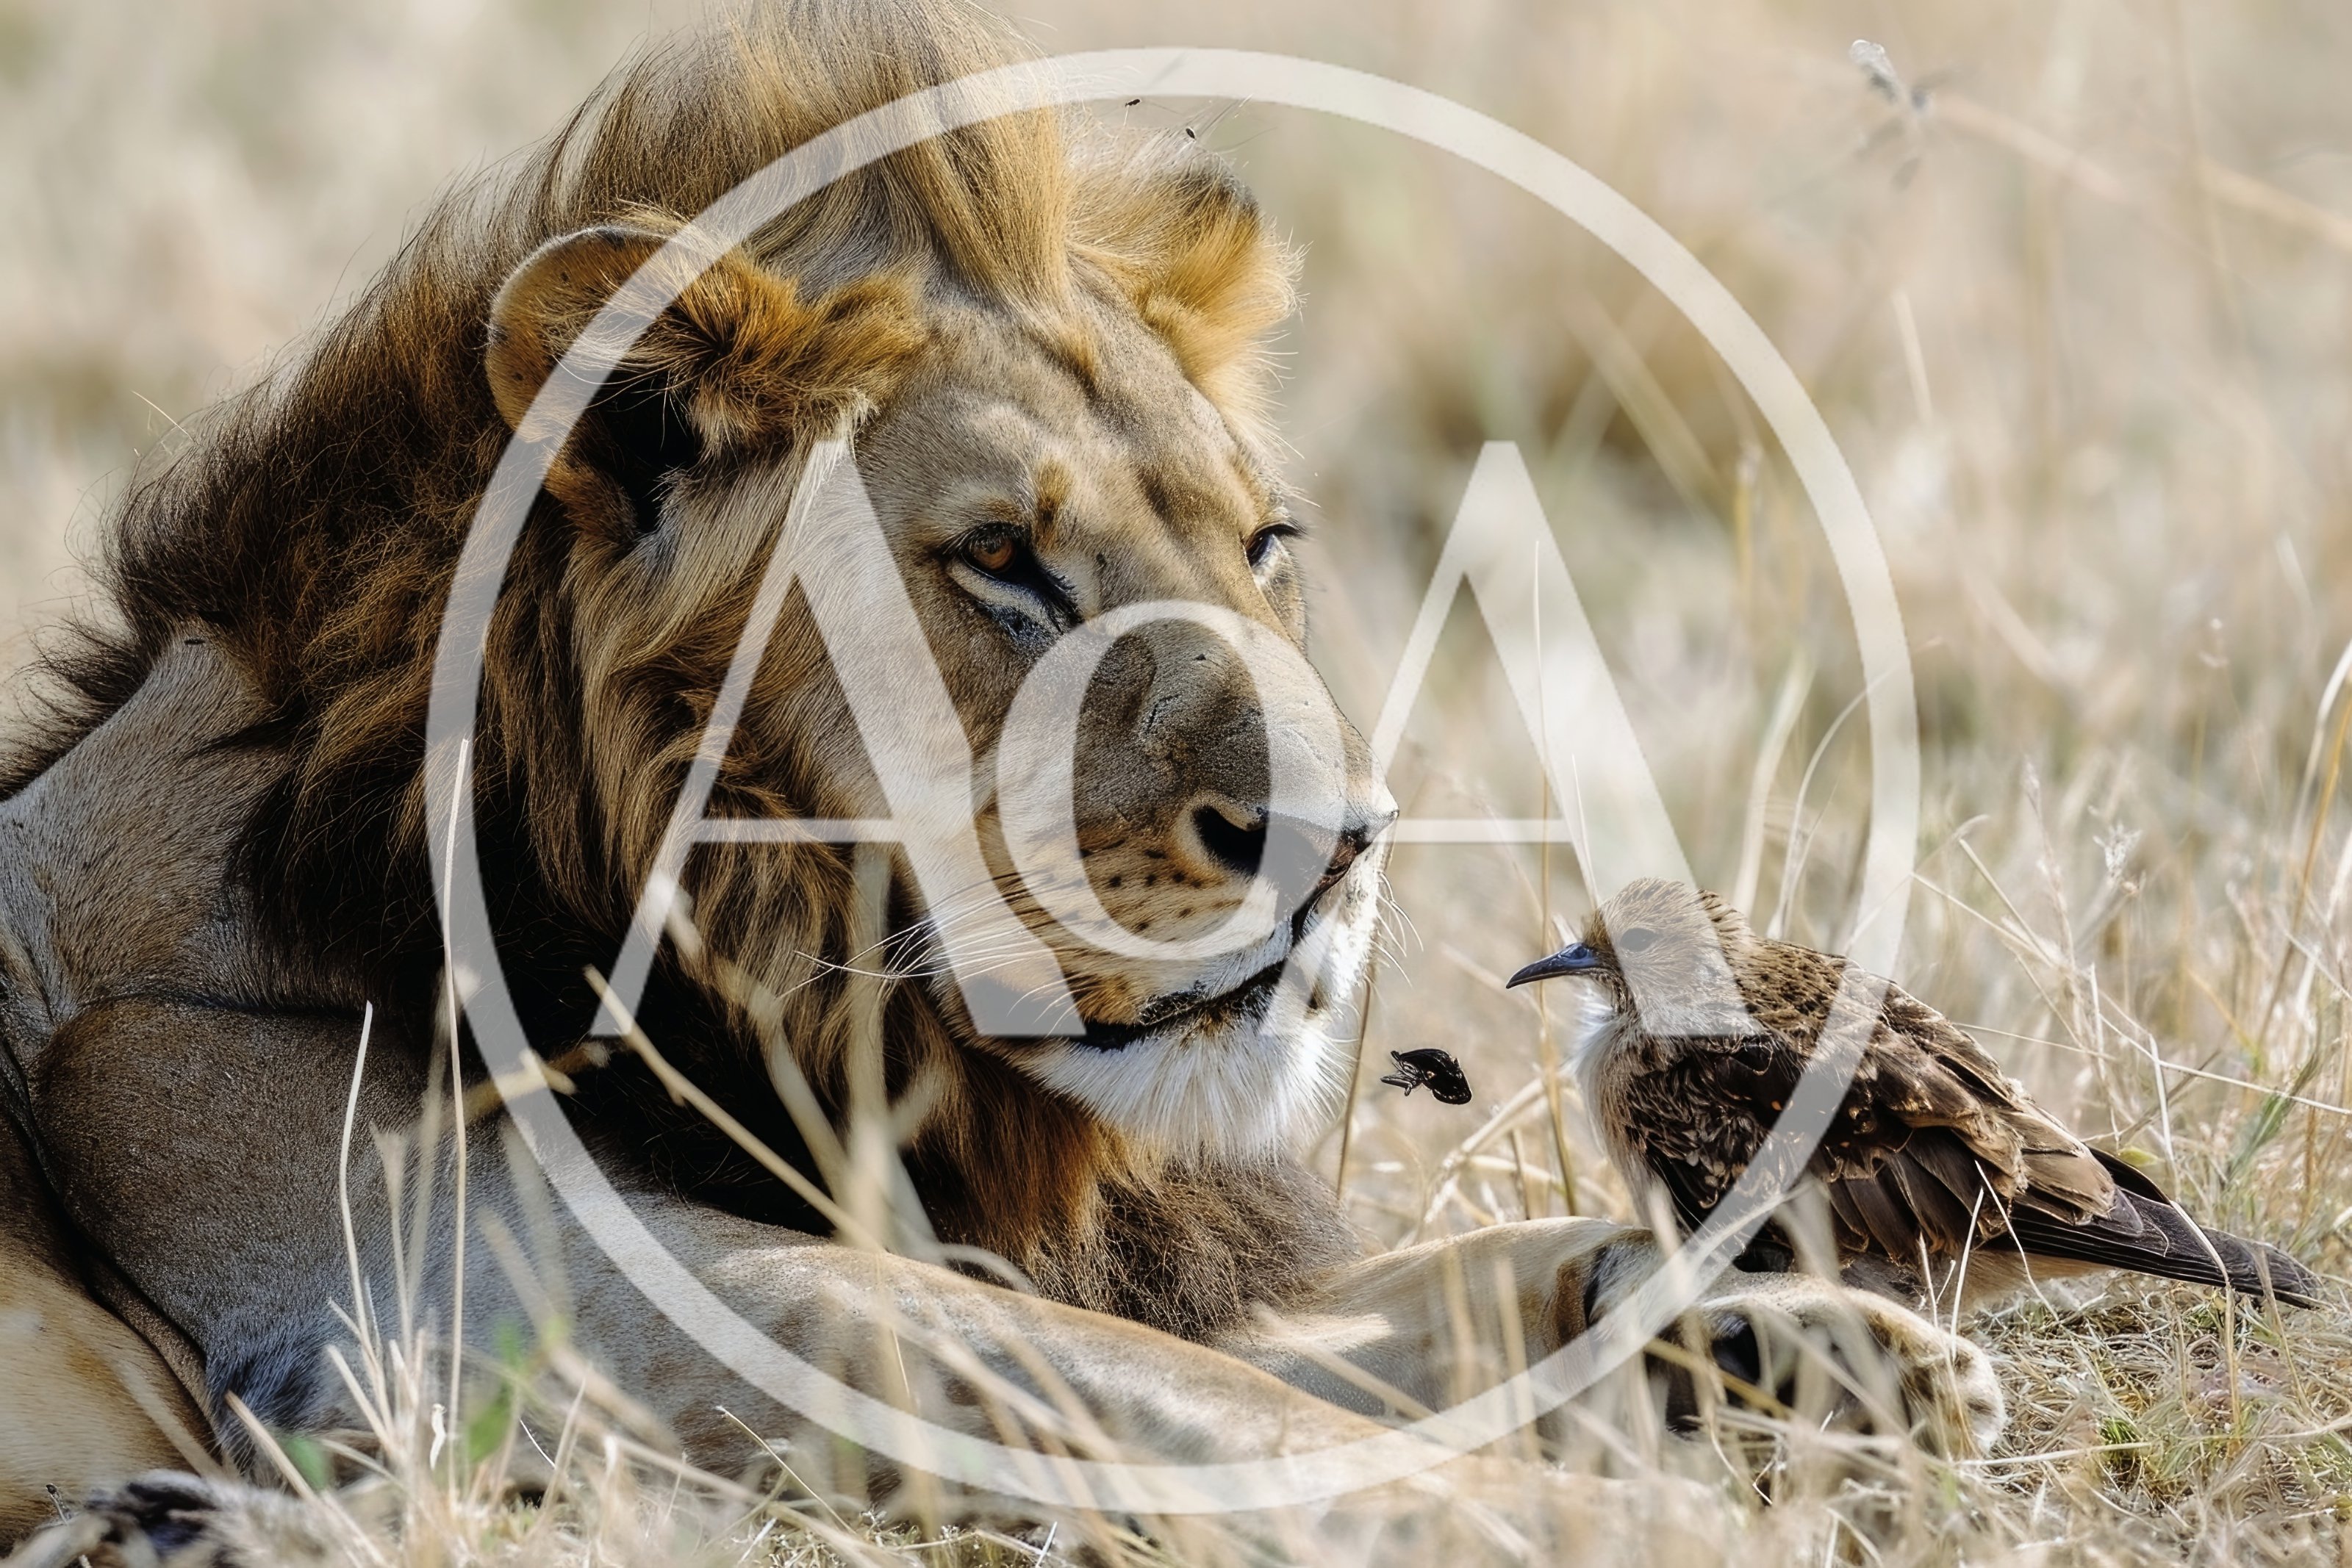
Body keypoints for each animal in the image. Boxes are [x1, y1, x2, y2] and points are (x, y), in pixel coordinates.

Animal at [0, 1, 2001, 1556]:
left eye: (1263, 545)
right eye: (1001, 564)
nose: (1342, 848)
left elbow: (1360, 1318)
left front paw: (1809, 1346)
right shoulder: (549, 1291)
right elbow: (1240, 1415)